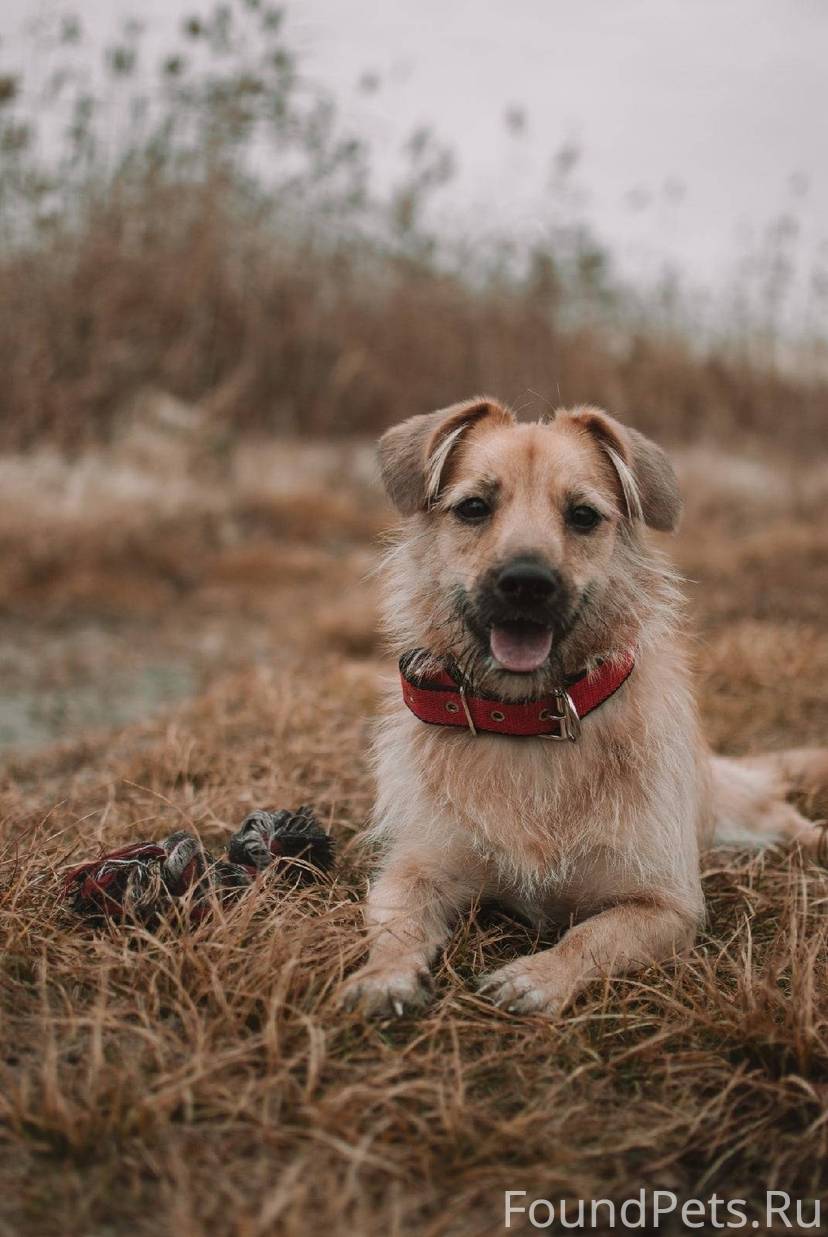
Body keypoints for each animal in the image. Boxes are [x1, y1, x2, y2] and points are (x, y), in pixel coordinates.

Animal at [339, 395, 821, 1014]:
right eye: (473, 508)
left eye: (584, 515)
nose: (526, 582)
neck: (529, 722)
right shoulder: (415, 868)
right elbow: (397, 923)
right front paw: (385, 975)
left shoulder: (665, 905)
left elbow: (591, 936)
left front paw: (538, 975)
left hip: (746, 817)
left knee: (787, 817)